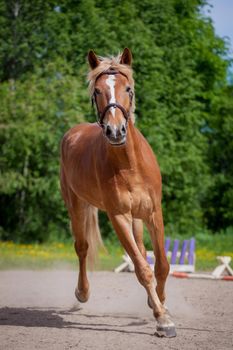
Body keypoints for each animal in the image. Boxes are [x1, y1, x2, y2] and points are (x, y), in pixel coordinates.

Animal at [61, 47, 176, 338]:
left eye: (128, 88)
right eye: (97, 91)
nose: (115, 131)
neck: (129, 164)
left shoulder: (153, 213)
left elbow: (161, 264)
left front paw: (159, 305)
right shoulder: (118, 217)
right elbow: (142, 269)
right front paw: (163, 319)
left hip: (137, 219)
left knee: (143, 249)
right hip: (76, 206)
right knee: (82, 248)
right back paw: (82, 292)